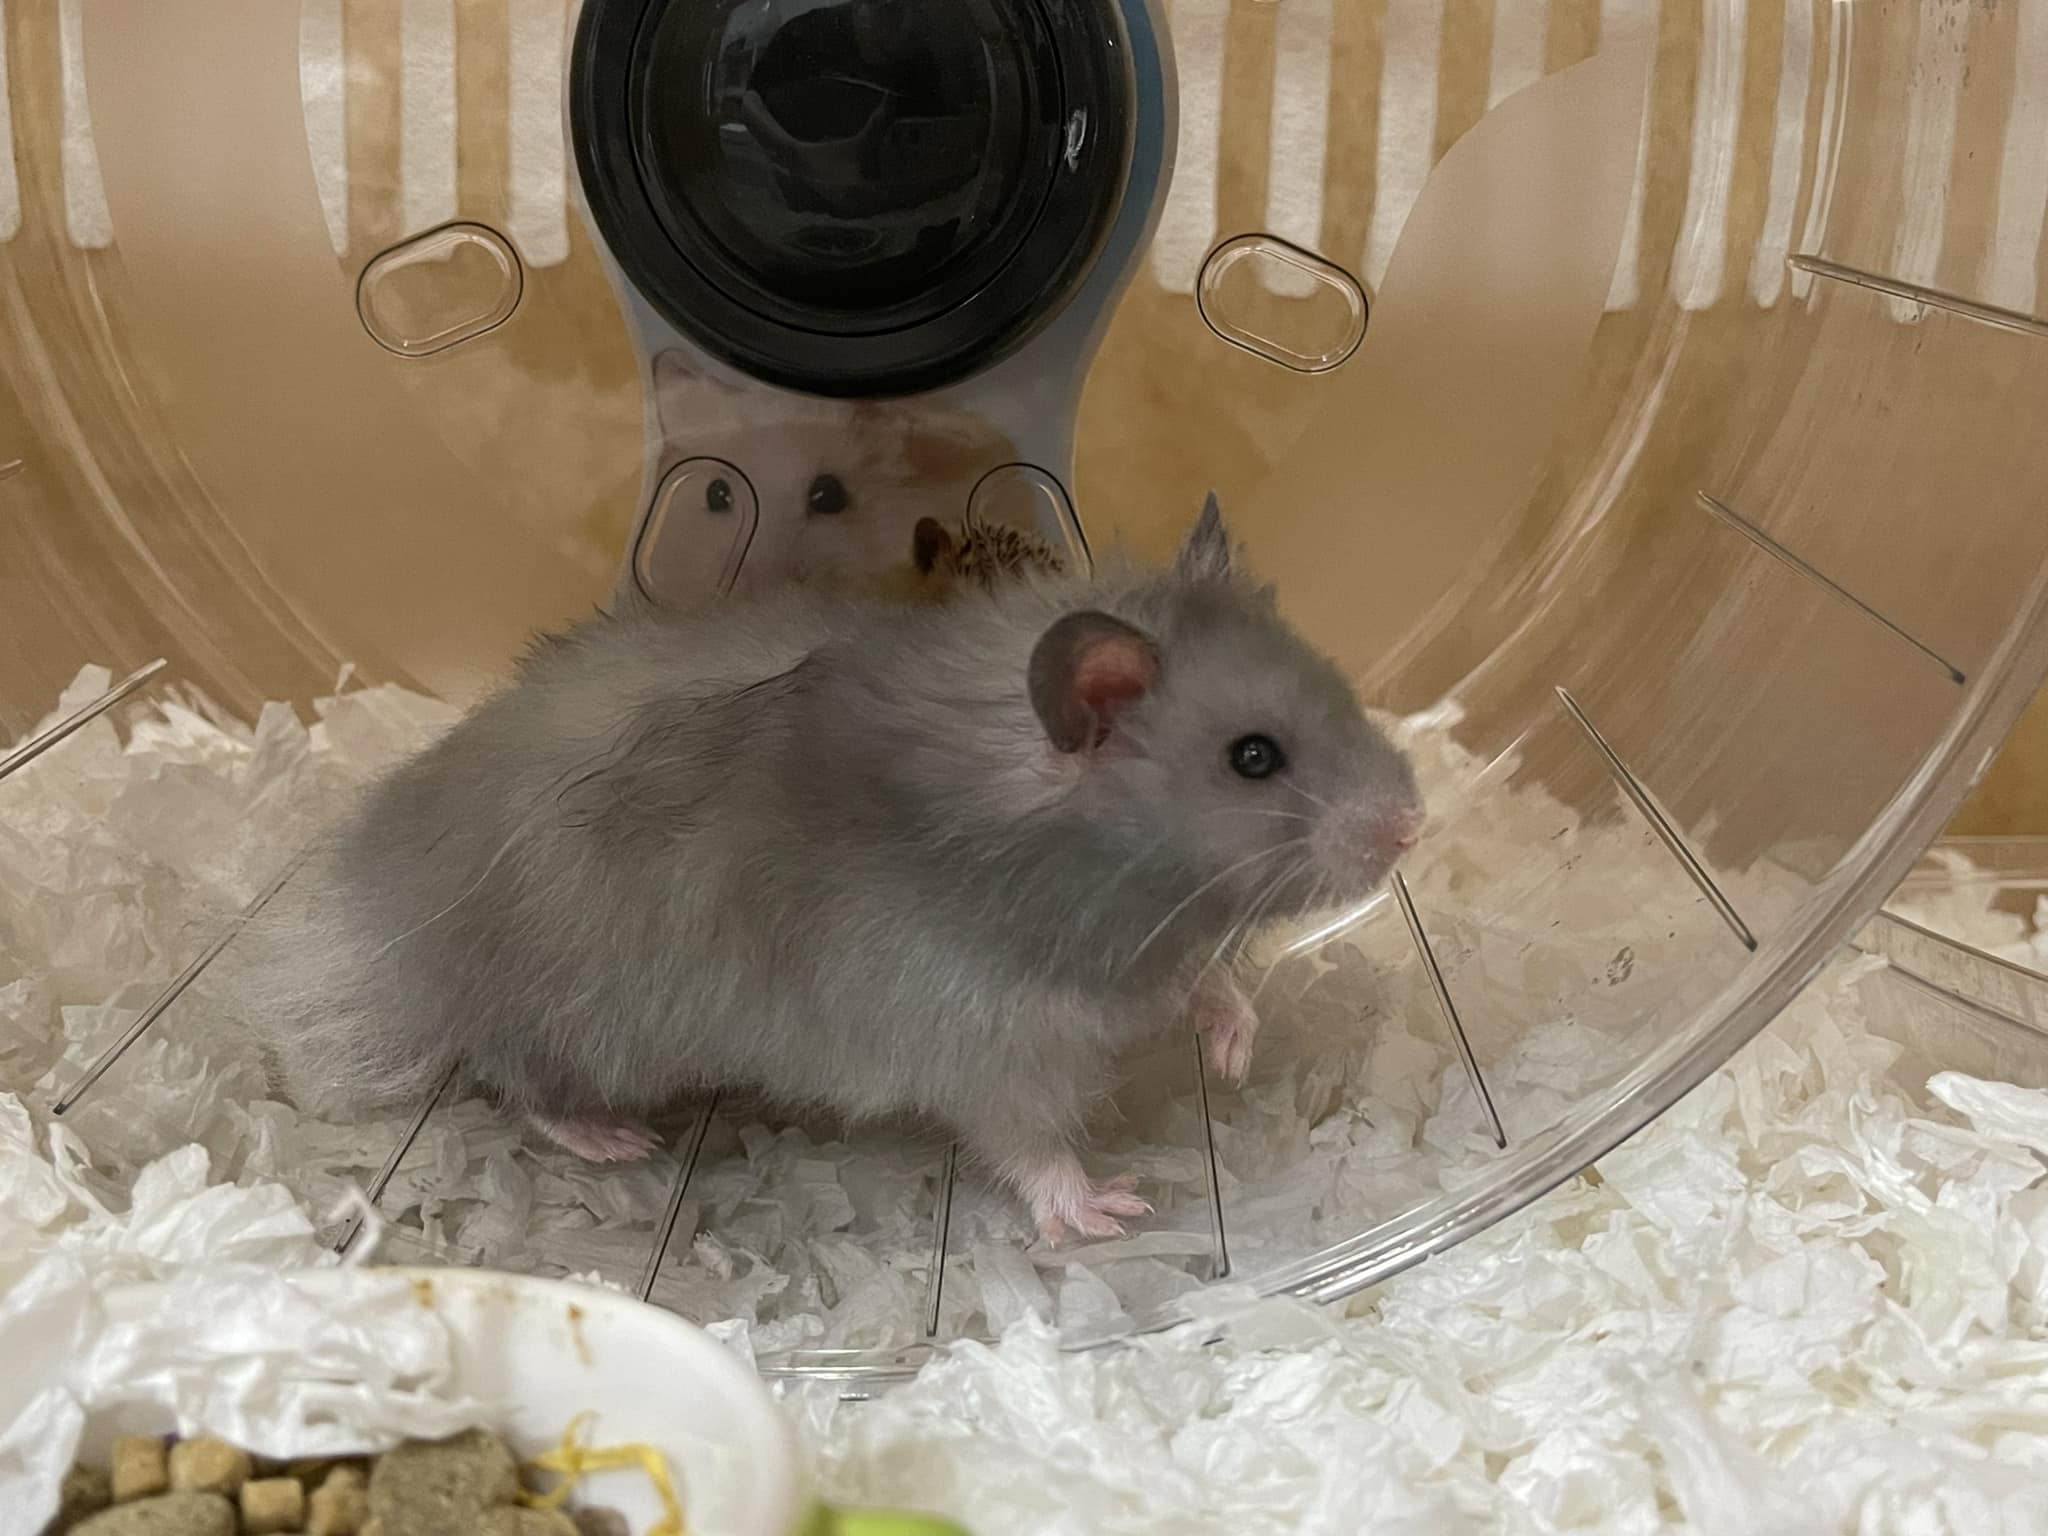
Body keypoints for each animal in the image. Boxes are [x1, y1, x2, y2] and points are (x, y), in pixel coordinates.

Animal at [233, 495, 1424, 1241]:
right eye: (1253, 758)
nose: (1413, 825)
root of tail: (381, 924)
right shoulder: (991, 1040)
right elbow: (1028, 1139)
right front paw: (1110, 1211)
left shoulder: (1148, 954)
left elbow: (1208, 978)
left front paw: (1233, 1051)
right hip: (569, 1019)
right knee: (512, 1078)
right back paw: (613, 1143)